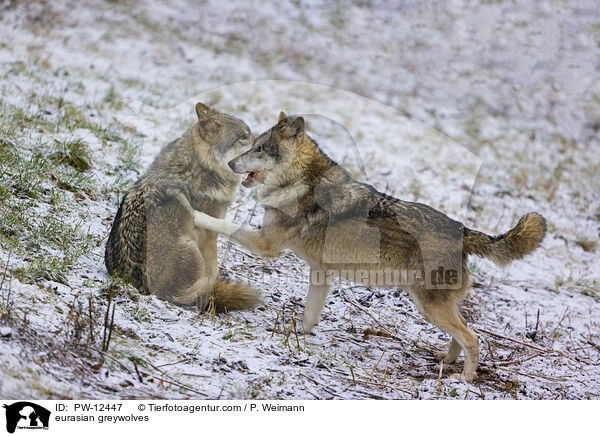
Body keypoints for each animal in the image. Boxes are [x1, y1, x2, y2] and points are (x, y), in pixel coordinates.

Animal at [193, 112, 548, 382]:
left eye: (259, 148)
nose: (231, 165)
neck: (302, 182)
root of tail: (463, 229)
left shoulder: (266, 245)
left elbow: (222, 223)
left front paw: (194, 212)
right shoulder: (321, 273)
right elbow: (309, 315)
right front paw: (298, 342)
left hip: (428, 306)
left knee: (473, 339)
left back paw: (464, 379)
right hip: (435, 306)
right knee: (461, 336)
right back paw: (445, 363)